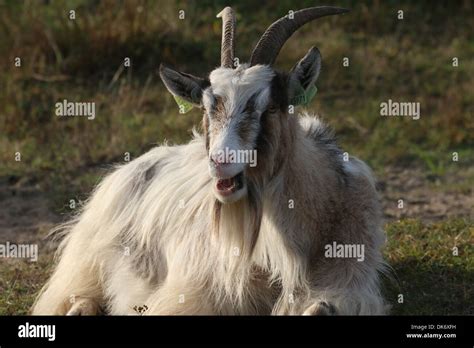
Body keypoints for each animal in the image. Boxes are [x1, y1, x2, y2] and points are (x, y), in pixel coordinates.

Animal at [34, 6, 388, 316]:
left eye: (271, 106)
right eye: (206, 108)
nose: (220, 161)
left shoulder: (348, 281)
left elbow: (322, 307)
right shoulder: (192, 293)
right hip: (87, 256)